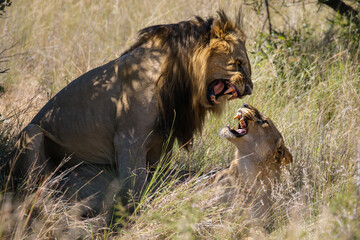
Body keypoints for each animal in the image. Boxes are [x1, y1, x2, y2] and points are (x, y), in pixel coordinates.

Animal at [11, 10, 253, 199]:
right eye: (238, 63)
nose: (250, 88)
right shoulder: (129, 139)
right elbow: (135, 184)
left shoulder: (162, 139)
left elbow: (158, 174)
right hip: (31, 131)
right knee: (31, 184)